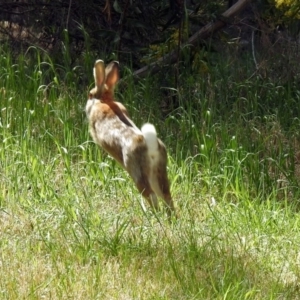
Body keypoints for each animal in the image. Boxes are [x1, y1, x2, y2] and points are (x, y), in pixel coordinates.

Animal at [85, 59, 176, 218]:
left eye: (90, 94)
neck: (104, 100)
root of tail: (151, 146)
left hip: (137, 171)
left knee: (151, 195)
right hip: (159, 170)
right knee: (166, 195)